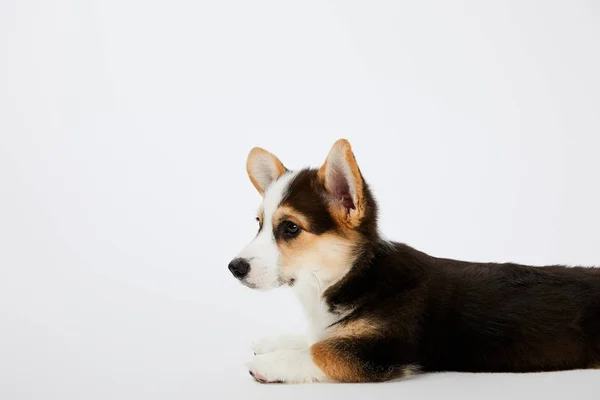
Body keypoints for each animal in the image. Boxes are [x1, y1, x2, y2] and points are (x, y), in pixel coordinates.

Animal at [226, 139, 600, 382]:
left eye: (290, 228)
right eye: (259, 223)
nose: (234, 268)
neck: (356, 274)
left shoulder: (383, 349)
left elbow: (322, 350)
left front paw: (271, 363)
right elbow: (317, 338)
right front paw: (273, 342)